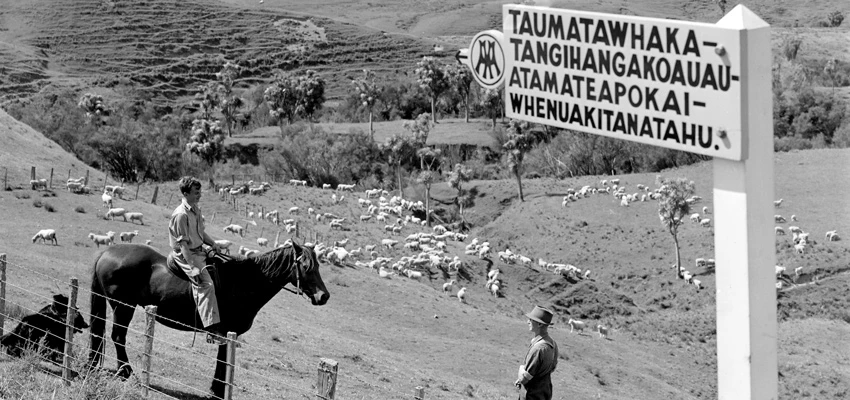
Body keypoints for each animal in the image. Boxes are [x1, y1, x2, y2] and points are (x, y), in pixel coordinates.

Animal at [88, 242, 328, 398]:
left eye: (318, 266)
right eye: (306, 267)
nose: (324, 296)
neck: (244, 282)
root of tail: (107, 252)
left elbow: (223, 360)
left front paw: (217, 389)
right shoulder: (227, 332)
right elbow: (223, 360)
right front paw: (218, 391)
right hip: (123, 308)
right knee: (118, 336)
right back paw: (126, 372)